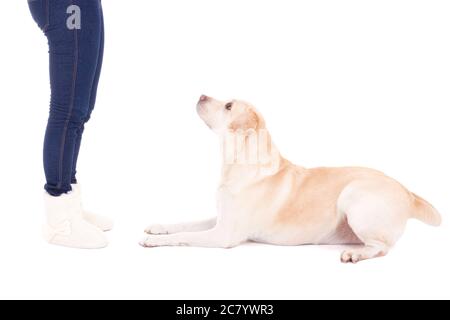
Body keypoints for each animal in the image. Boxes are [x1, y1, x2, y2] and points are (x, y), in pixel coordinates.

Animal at [142, 94, 442, 262]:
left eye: (228, 106)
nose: (202, 94)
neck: (239, 162)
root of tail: (407, 191)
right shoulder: (220, 218)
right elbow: (185, 224)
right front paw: (158, 227)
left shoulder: (224, 234)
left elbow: (184, 235)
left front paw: (153, 242)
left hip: (354, 195)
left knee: (382, 247)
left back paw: (356, 254)